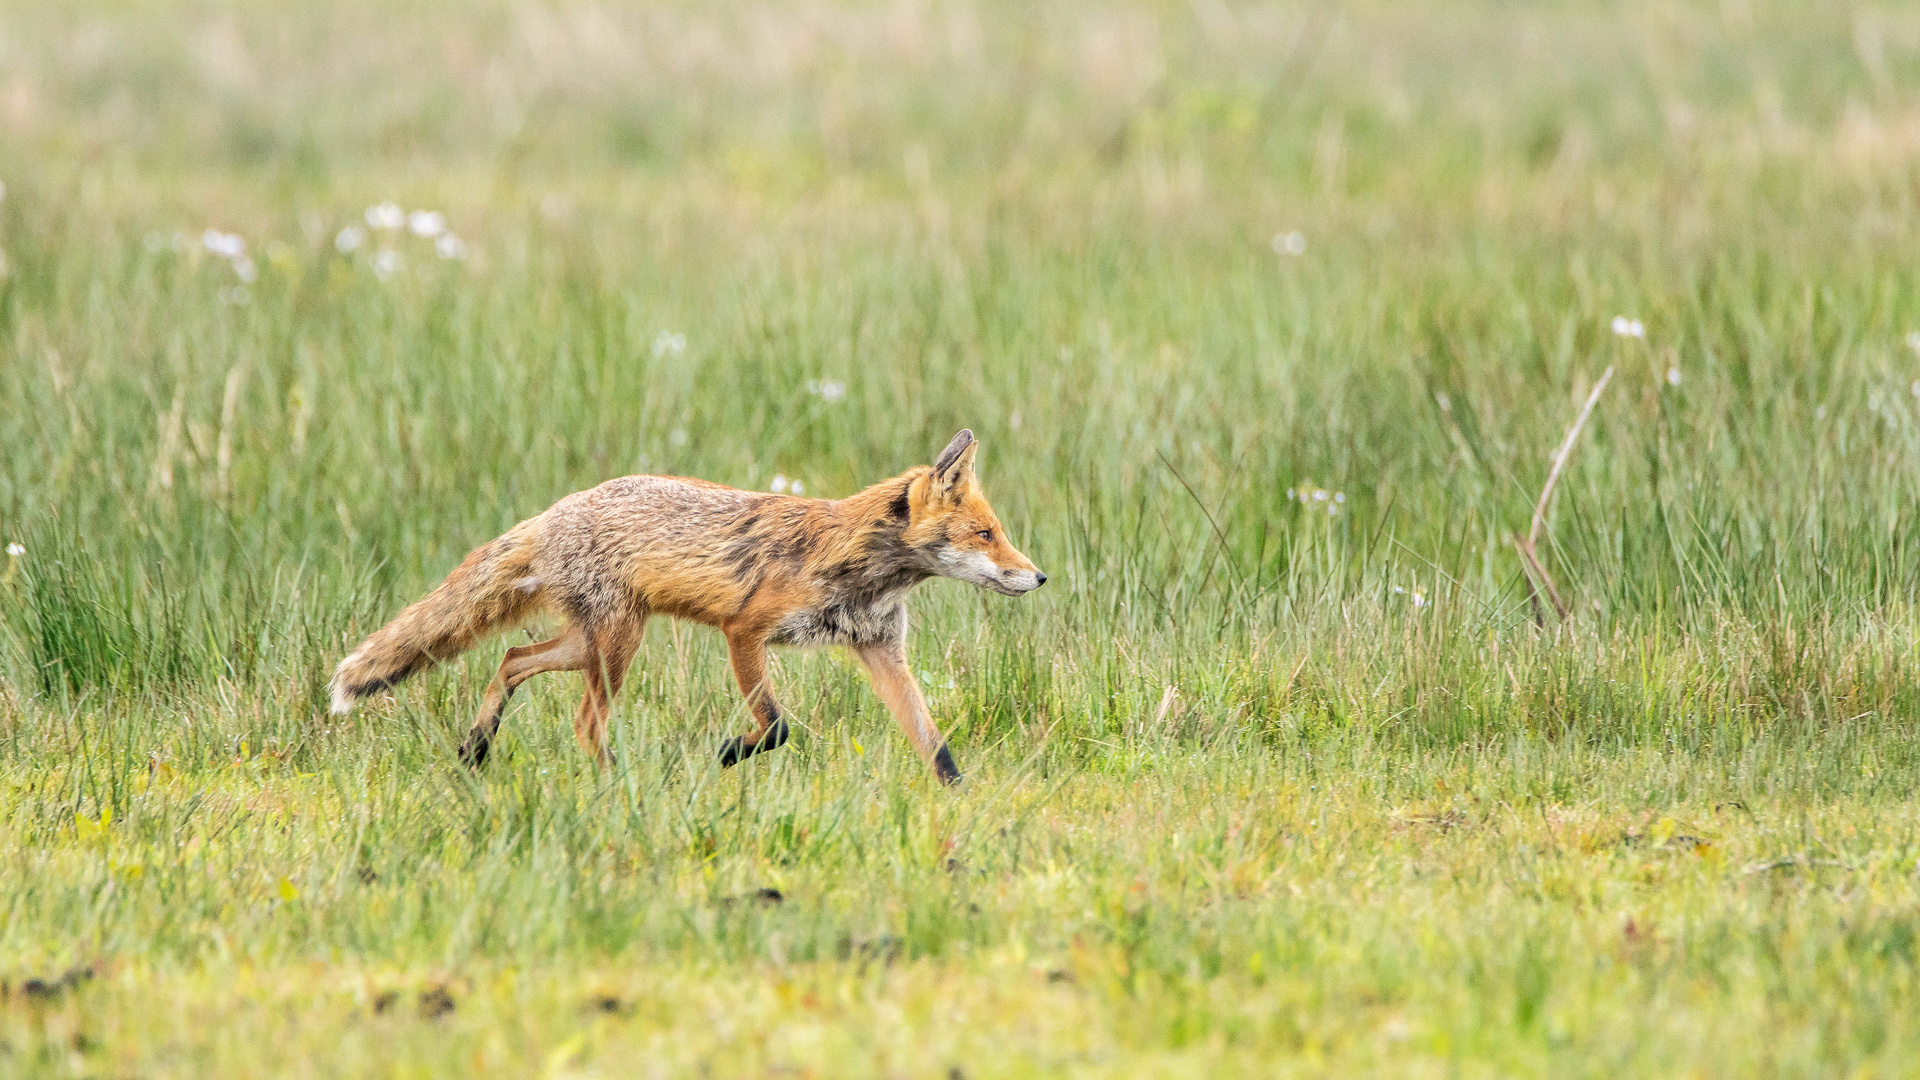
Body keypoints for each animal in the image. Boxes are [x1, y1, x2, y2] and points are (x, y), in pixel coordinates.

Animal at [332, 428, 1052, 780]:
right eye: (986, 535)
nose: (1040, 576)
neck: (862, 571)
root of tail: (554, 510)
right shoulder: (746, 629)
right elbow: (777, 726)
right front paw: (729, 755)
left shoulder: (879, 649)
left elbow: (935, 746)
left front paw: (961, 804)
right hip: (616, 647)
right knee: (584, 723)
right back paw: (617, 784)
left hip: (589, 643)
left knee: (510, 658)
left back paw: (477, 749)